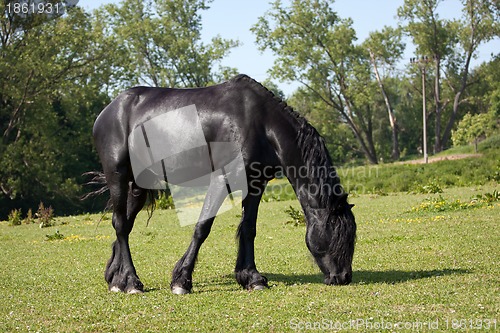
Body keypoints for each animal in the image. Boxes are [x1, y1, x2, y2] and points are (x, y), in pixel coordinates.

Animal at [90, 73, 356, 294]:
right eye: (336, 233)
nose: (343, 277)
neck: (260, 124)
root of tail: (109, 110)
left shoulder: (255, 184)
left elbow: (249, 228)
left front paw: (252, 278)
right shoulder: (222, 179)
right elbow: (202, 228)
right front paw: (182, 280)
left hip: (138, 186)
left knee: (123, 225)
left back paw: (116, 278)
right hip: (118, 176)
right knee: (121, 225)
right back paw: (131, 282)